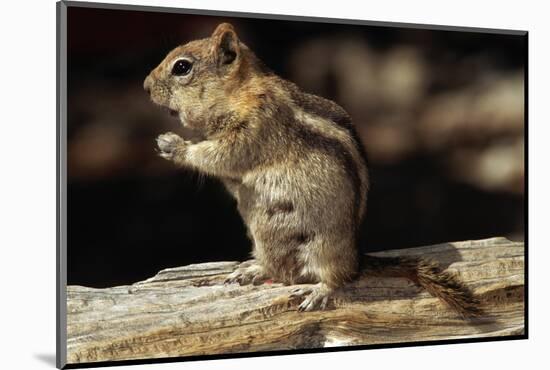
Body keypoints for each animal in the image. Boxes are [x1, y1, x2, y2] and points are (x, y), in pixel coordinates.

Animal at [143, 22, 484, 316]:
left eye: (182, 67)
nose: (145, 86)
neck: (238, 93)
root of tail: (357, 259)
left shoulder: (255, 127)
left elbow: (222, 155)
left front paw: (173, 145)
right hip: (264, 237)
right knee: (275, 267)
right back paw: (252, 270)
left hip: (324, 247)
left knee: (337, 278)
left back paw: (319, 290)